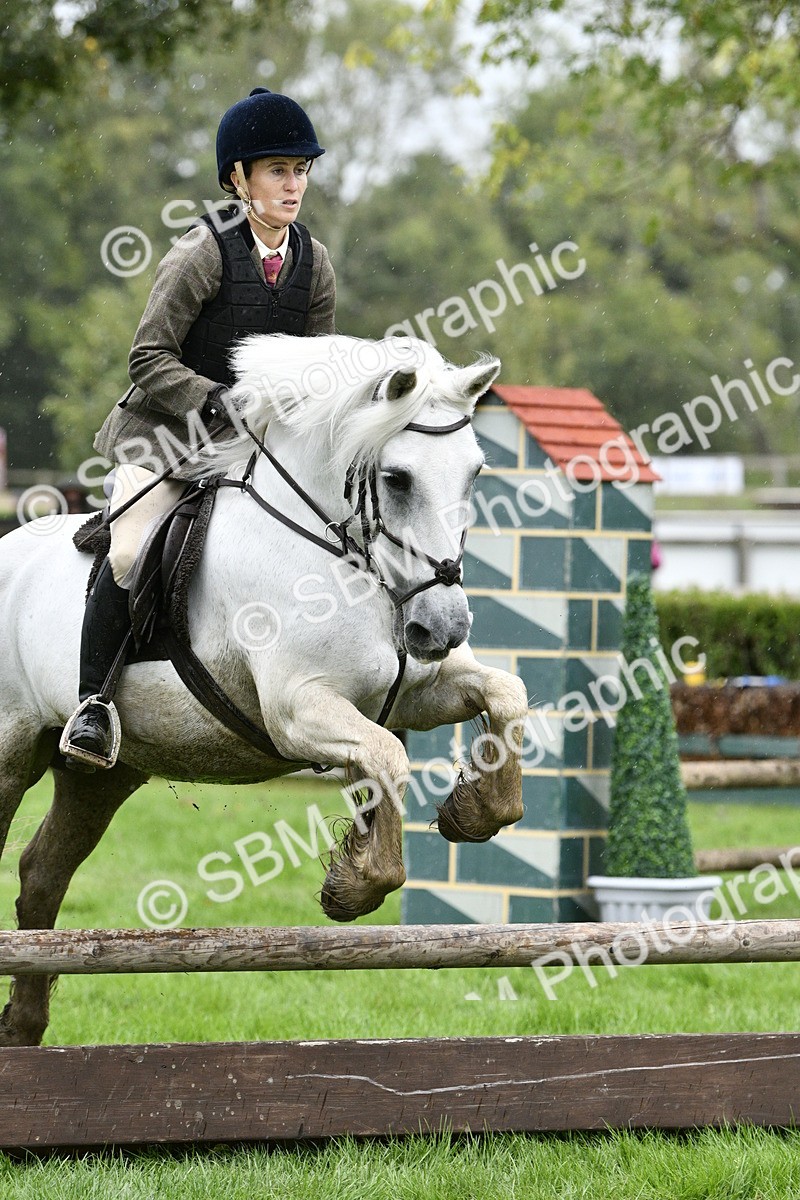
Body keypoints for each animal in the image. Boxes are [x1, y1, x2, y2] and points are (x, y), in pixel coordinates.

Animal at [0, 333, 530, 1046]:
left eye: (474, 472)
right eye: (397, 478)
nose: (443, 627)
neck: (346, 560)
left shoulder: (418, 692)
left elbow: (506, 696)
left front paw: (473, 813)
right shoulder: (298, 710)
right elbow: (387, 755)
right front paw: (354, 885)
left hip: (103, 772)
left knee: (43, 874)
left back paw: (22, 1029)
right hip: (10, 752)